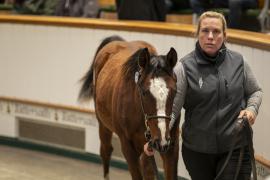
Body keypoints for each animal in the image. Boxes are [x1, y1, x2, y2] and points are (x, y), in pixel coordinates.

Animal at [79, 35, 180, 180]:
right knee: (106, 151)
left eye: (174, 91)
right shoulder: (128, 146)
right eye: (144, 92)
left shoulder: (171, 146)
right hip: (103, 124)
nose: (160, 140)